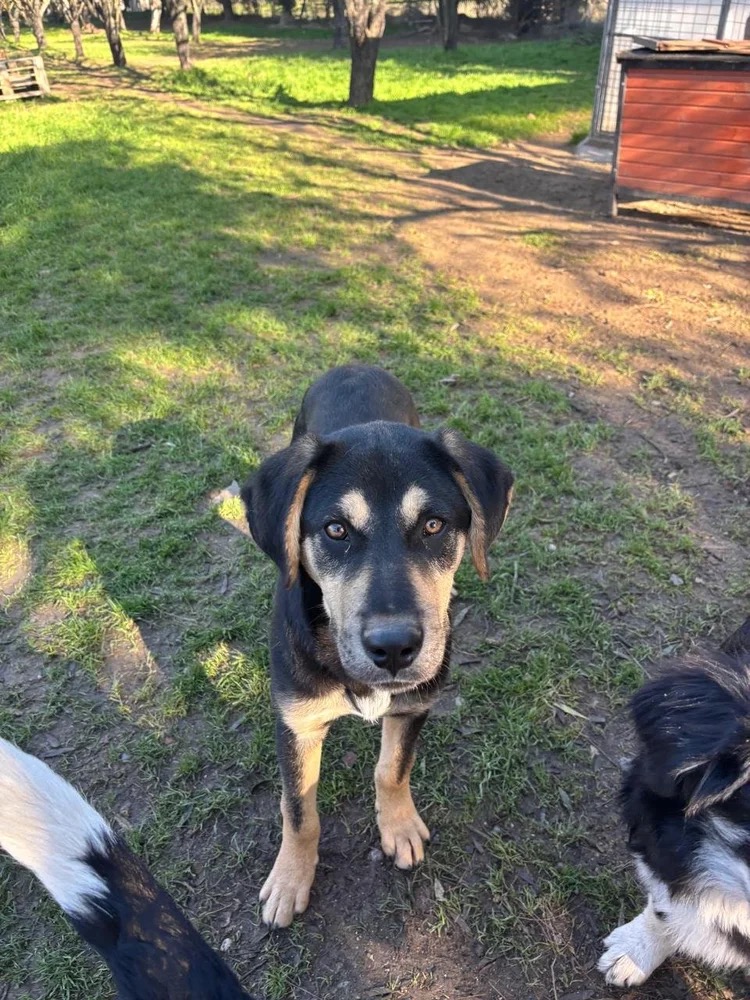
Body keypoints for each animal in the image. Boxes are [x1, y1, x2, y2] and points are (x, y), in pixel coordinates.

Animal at [241, 364, 514, 928]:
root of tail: (355, 365)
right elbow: (298, 809)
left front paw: (399, 826)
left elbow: (392, 769)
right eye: (335, 529)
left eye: (433, 525)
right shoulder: (296, 722)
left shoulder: (413, 706)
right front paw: (290, 878)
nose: (393, 649)